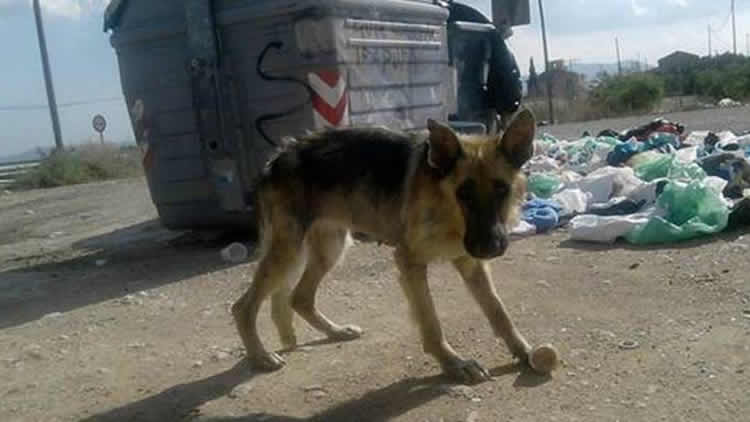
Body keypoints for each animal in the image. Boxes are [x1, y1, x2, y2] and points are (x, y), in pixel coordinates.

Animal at [232, 109, 548, 386]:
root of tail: (275, 159)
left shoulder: (471, 264)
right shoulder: (410, 263)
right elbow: (431, 323)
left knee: (299, 297)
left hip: (329, 247)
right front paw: (454, 364)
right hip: (289, 250)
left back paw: (335, 331)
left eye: (502, 190)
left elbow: (499, 312)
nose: (491, 247)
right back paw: (261, 356)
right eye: (464, 194)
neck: (446, 208)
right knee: (243, 307)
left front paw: (523, 351)